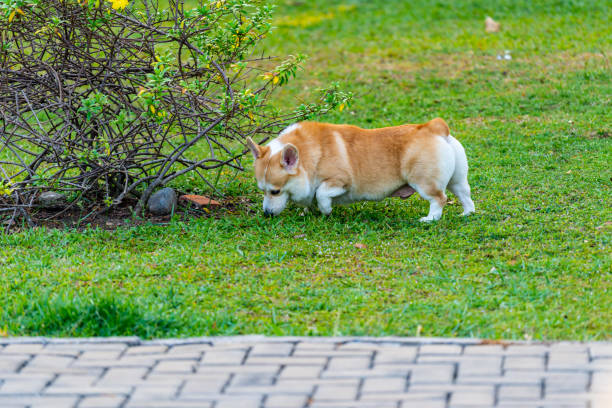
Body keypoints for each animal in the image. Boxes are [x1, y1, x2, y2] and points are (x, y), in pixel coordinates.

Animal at [246, 118, 476, 222]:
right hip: (457, 180)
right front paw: (307, 212)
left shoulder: (339, 182)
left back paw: (429, 219)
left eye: (275, 191)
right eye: (262, 190)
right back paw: (466, 213)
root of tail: (435, 127)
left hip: (424, 182)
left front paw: (325, 211)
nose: (266, 214)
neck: (308, 155)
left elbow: (321, 194)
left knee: (439, 199)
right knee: (465, 195)